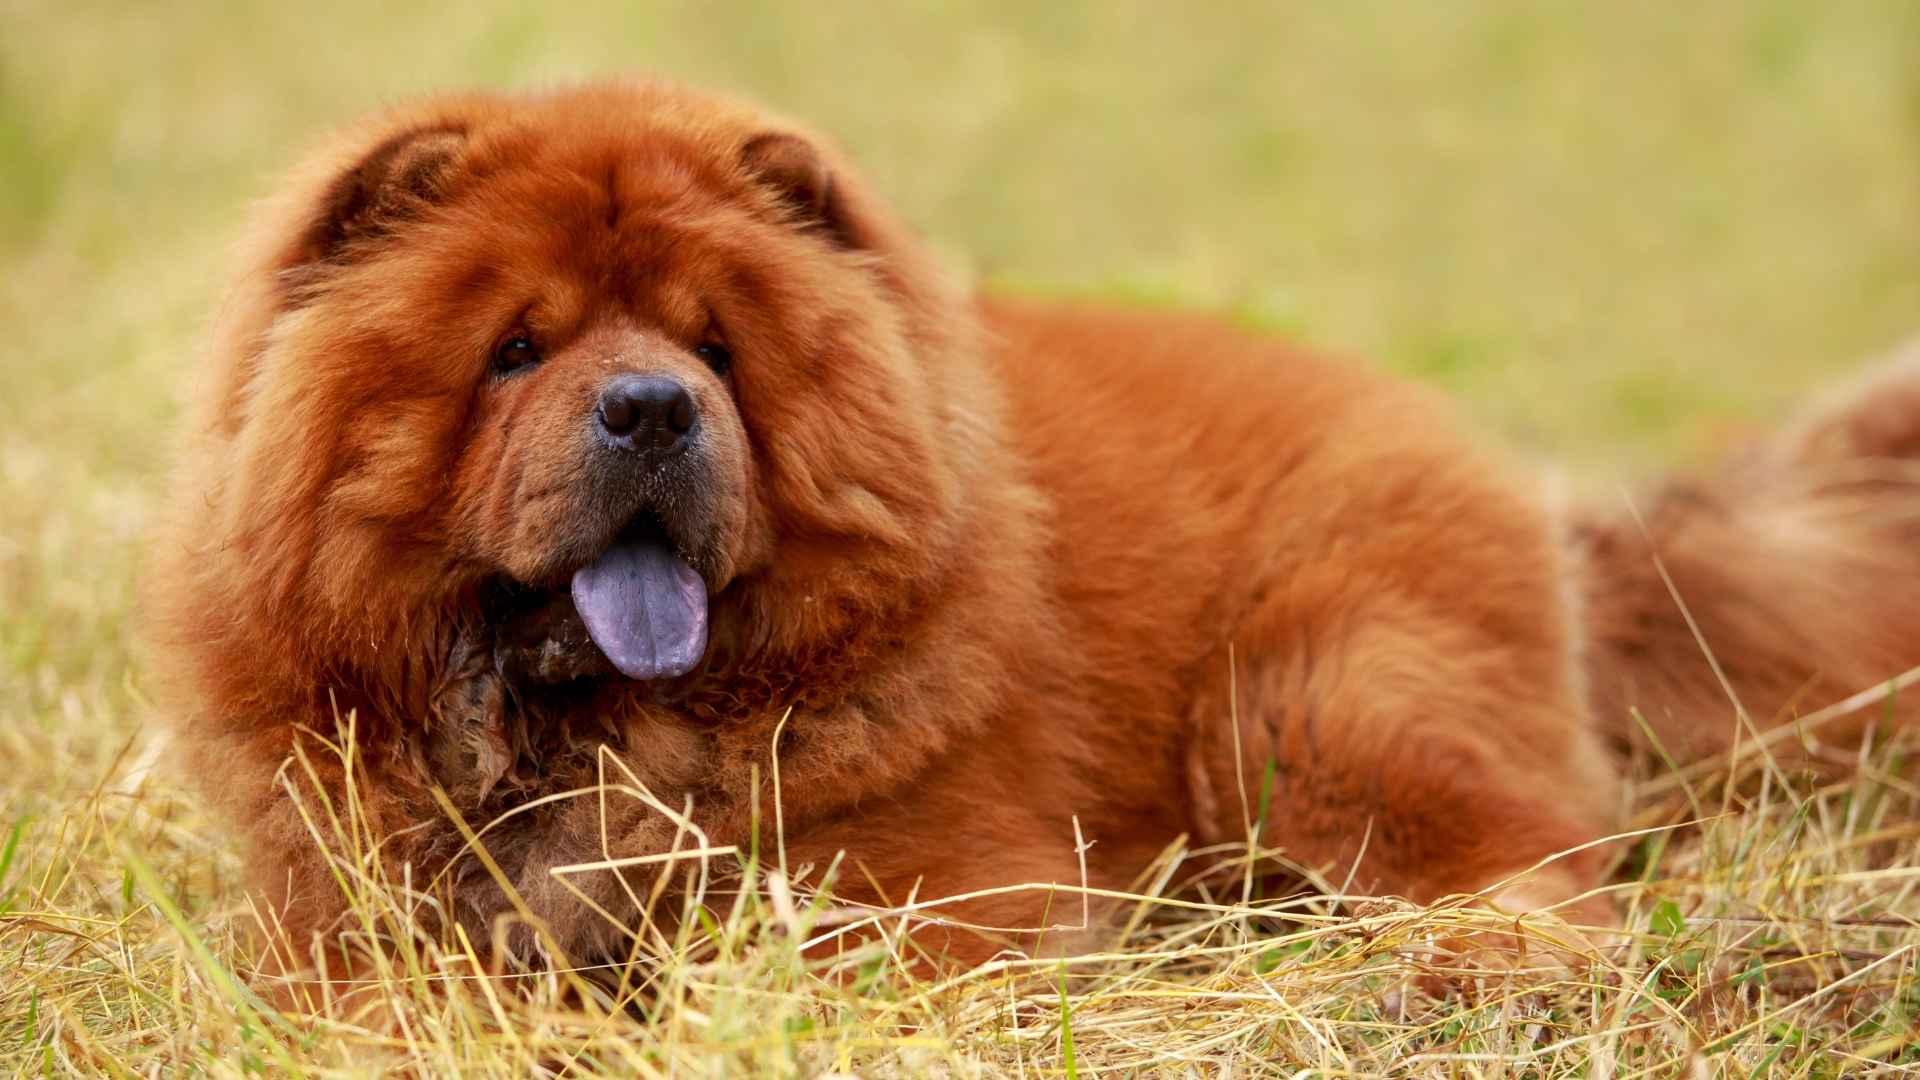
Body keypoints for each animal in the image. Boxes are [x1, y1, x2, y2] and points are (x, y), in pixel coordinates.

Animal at [145, 75, 1920, 968]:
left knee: (1530, 873)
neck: (587, 734)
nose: (651, 406)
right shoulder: (337, 903)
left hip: (1323, 703)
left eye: (718, 349)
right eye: (514, 350)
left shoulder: (938, 889)